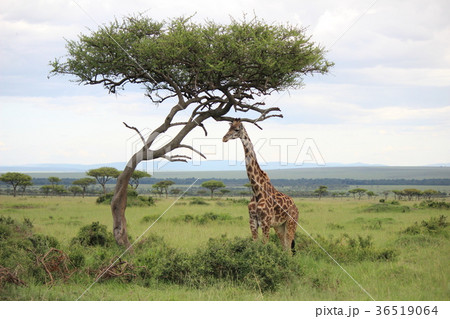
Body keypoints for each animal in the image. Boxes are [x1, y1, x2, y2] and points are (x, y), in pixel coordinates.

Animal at [222, 119, 298, 252]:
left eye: (236, 129)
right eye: (229, 128)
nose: (224, 138)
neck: (257, 191)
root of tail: (296, 207)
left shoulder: (265, 222)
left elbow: (264, 245)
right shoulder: (252, 221)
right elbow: (255, 244)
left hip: (290, 223)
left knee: (289, 248)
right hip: (279, 226)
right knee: (285, 248)